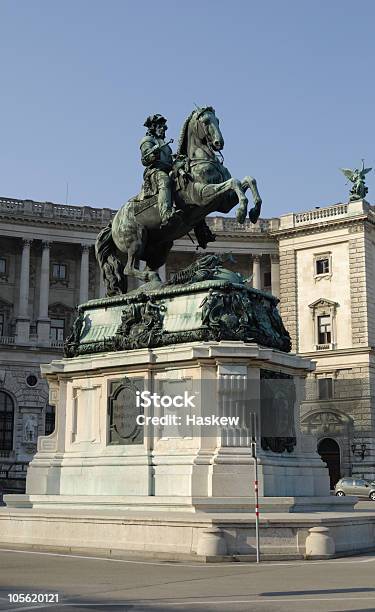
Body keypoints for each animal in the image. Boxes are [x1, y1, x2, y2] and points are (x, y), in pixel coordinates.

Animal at [95, 106, 262, 296]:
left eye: (218, 120)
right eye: (206, 121)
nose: (219, 143)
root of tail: (113, 222)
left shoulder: (224, 202)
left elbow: (248, 180)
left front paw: (254, 211)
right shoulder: (204, 195)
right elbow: (234, 182)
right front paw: (242, 212)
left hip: (160, 248)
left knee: (147, 267)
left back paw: (158, 283)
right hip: (136, 241)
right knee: (128, 268)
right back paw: (151, 280)